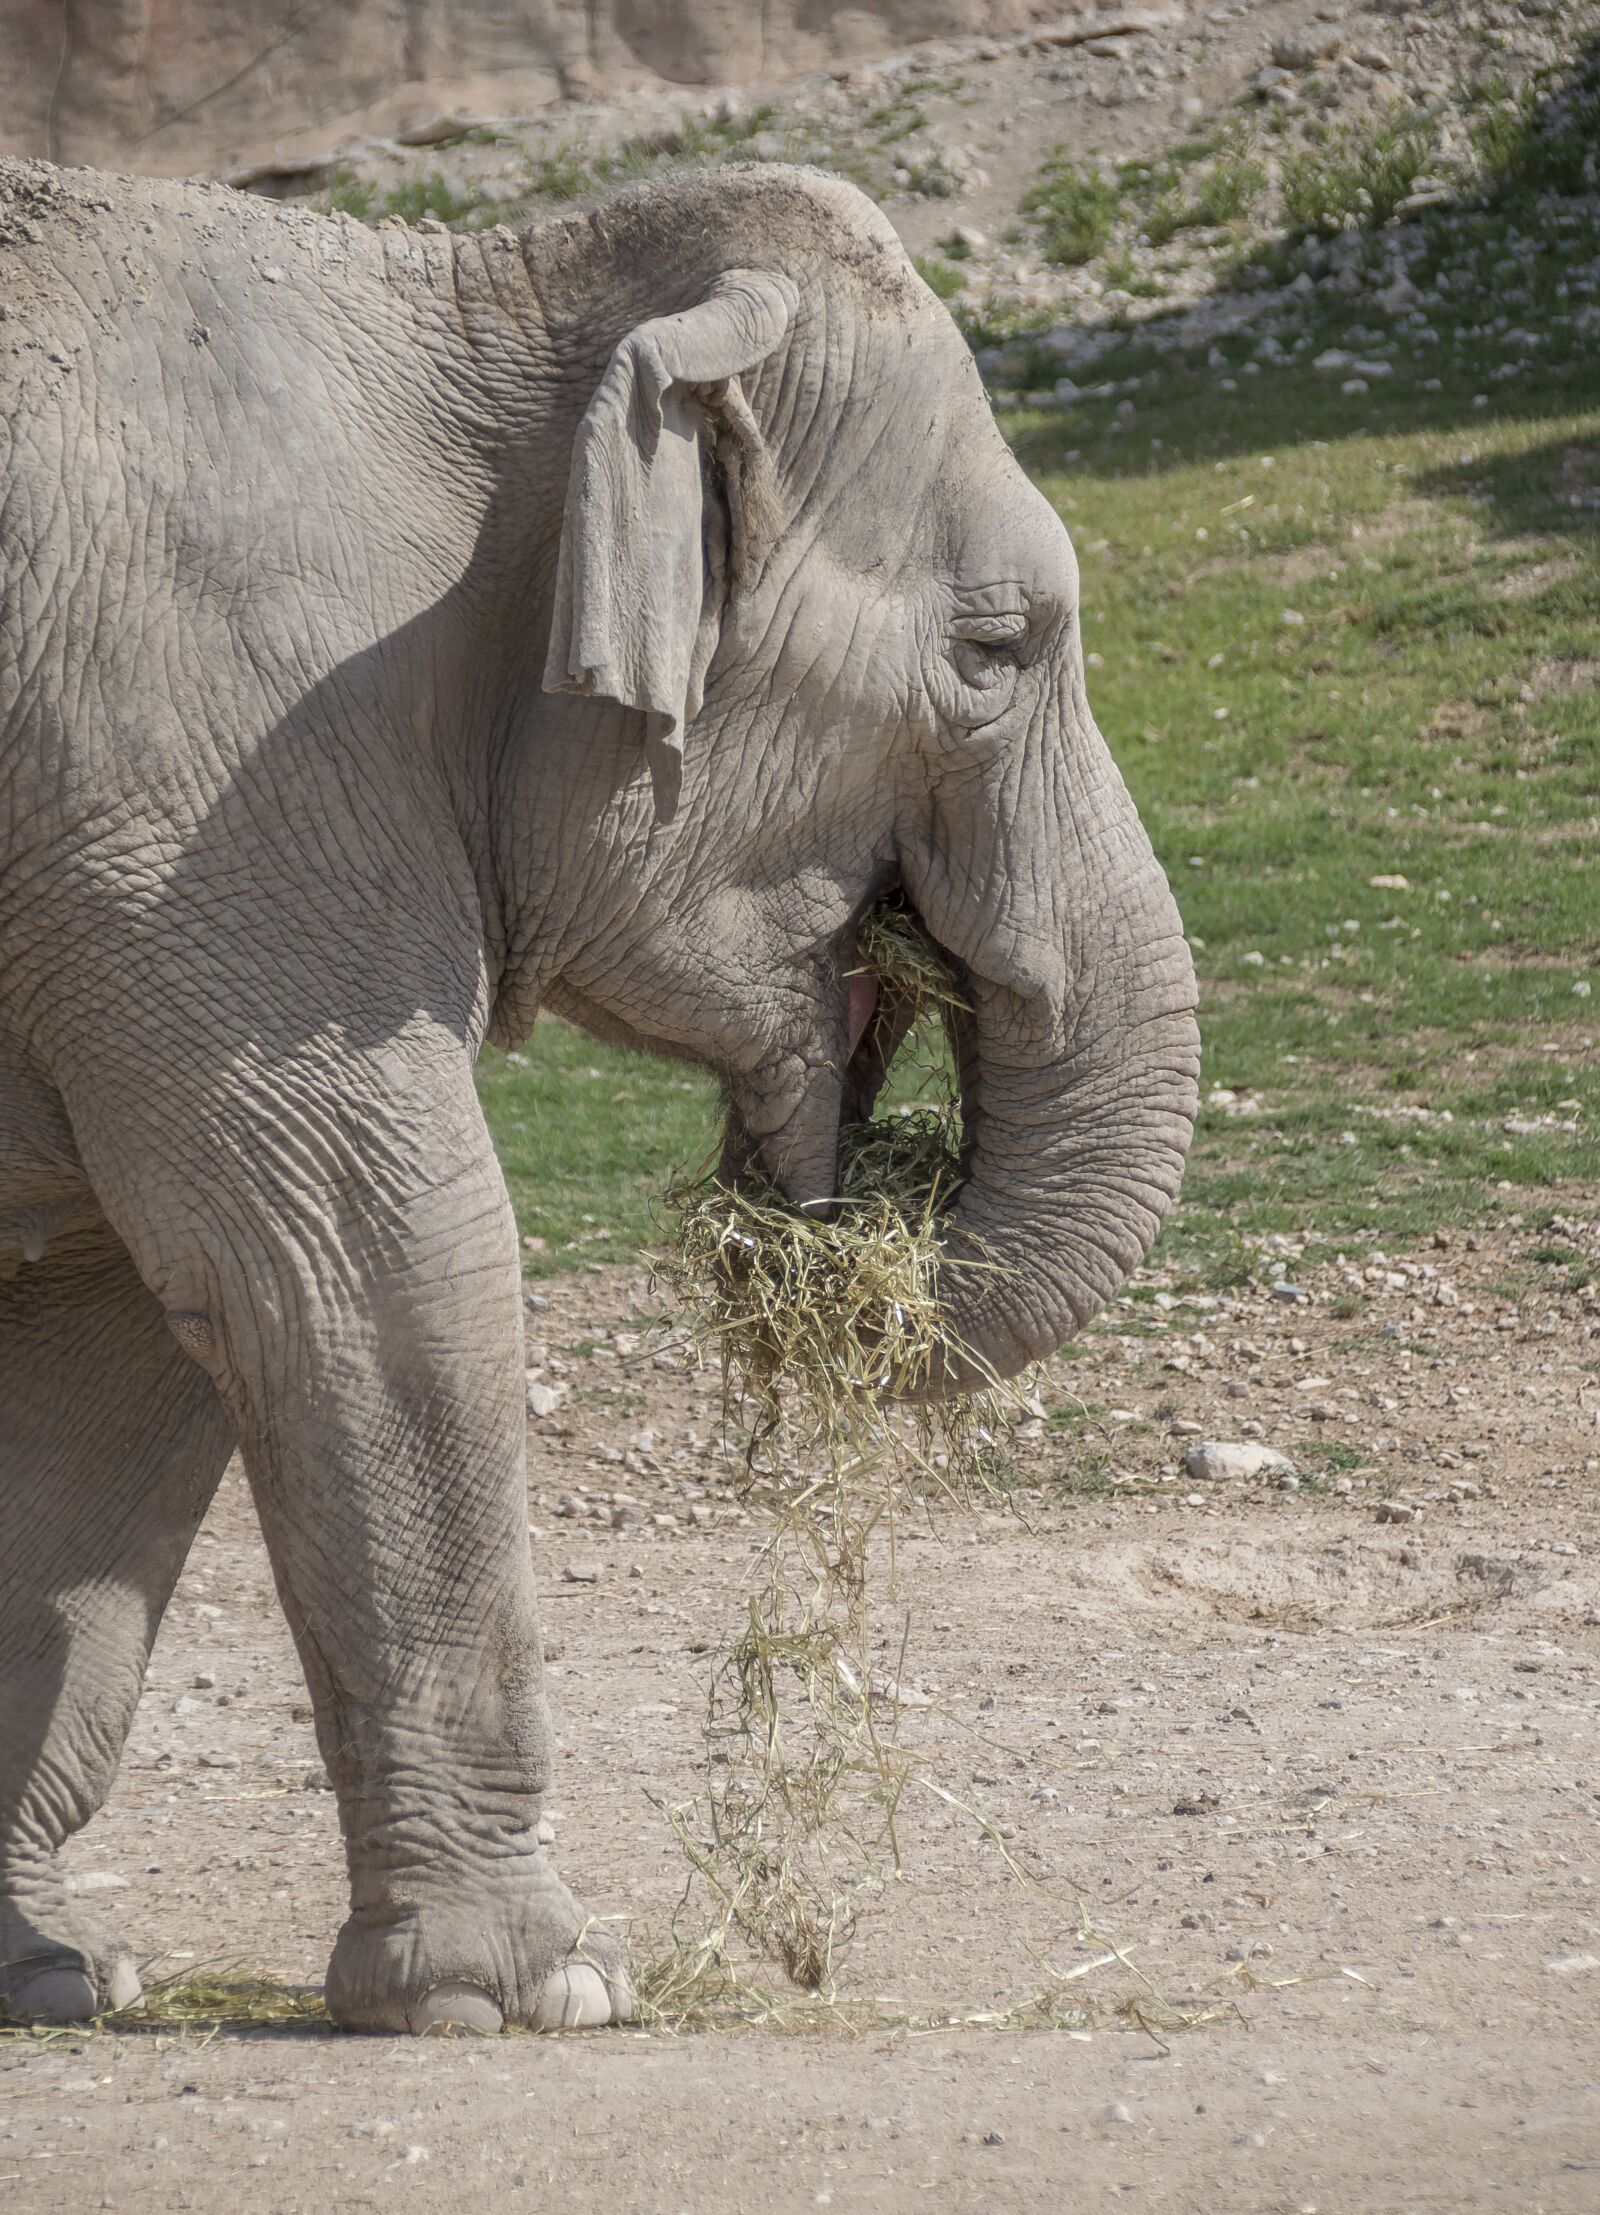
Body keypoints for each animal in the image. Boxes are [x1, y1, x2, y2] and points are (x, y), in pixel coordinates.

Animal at [0, 153, 1199, 2033]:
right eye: (1000, 646)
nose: (853, 1227)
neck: (483, 292)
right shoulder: (202, 795)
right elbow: (364, 1267)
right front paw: (530, 1996)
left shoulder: (135, 866)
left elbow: (113, 1346)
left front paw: (57, 1981)